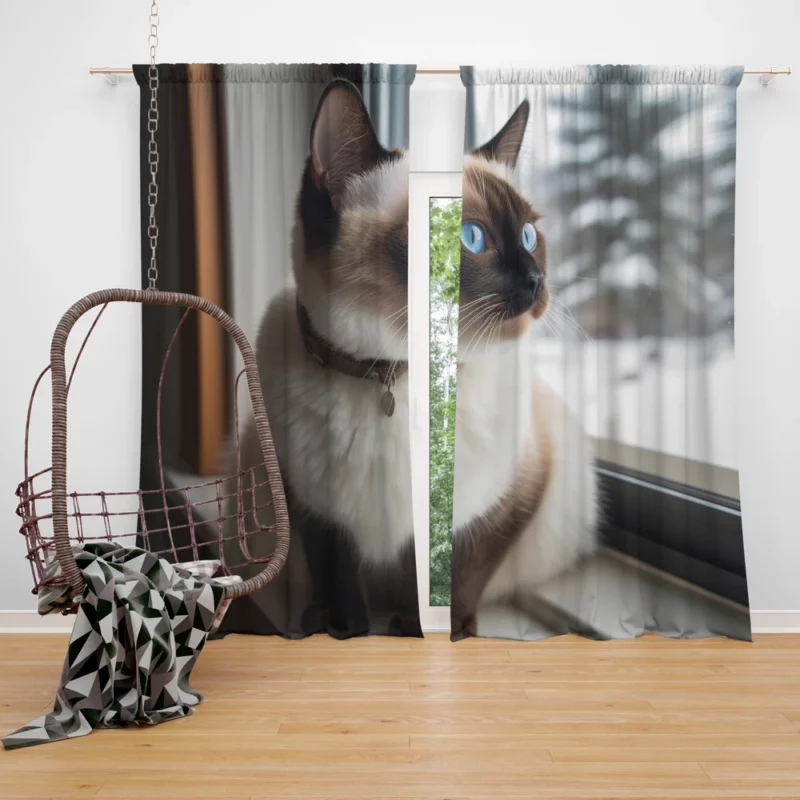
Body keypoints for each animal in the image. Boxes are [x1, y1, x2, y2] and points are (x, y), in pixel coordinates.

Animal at [234, 78, 422, 636]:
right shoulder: (319, 510)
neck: (377, 375)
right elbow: (340, 578)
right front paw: (346, 633)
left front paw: (412, 630)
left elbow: (415, 581)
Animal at [454, 100, 596, 640]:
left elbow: (464, 578)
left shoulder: (517, 493)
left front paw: (457, 636)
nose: (537, 281)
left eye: (529, 235)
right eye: (472, 238)